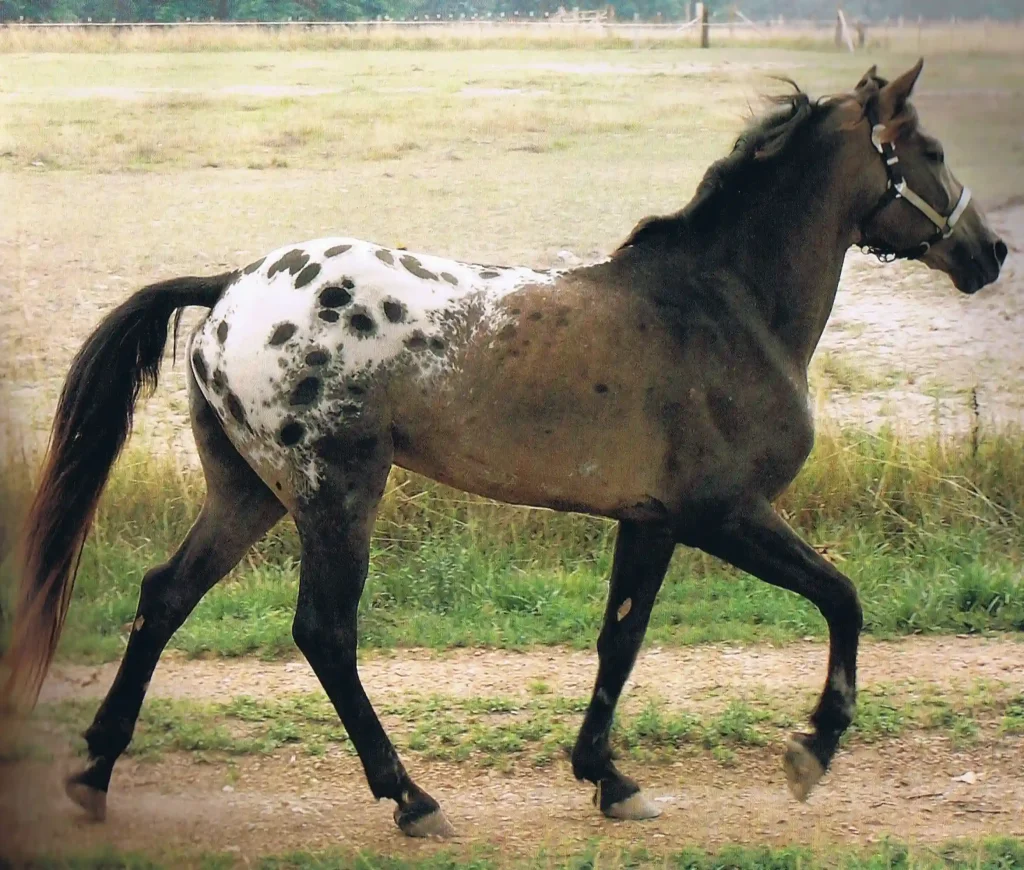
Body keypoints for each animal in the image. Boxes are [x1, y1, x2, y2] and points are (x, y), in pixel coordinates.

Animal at [0, 59, 1007, 835]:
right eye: (929, 151)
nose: (990, 252)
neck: (725, 306)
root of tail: (232, 289)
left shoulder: (651, 521)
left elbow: (620, 641)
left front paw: (609, 779)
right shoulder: (724, 513)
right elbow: (842, 597)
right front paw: (813, 747)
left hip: (246, 492)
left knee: (164, 598)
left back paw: (95, 775)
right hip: (334, 494)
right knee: (324, 631)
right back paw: (410, 798)